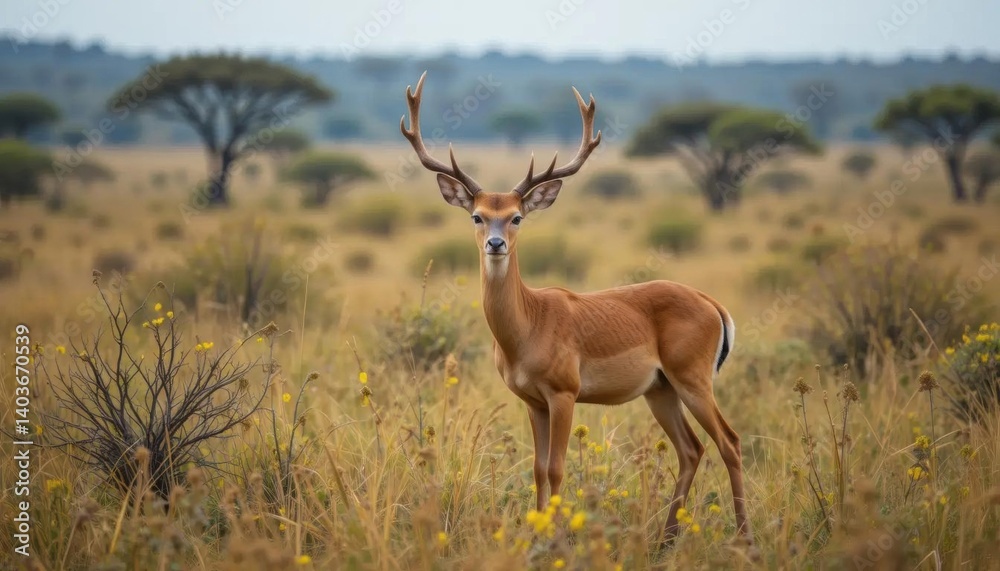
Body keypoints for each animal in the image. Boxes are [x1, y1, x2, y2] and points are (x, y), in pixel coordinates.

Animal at [400, 72, 752, 542]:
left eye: (516, 216)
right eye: (477, 215)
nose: (495, 244)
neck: (527, 326)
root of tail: (711, 303)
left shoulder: (564, 396)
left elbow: (556, 468)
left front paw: (555, 535)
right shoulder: (532, 402)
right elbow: (536, 469)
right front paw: (537, 532)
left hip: (693, 383)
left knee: (729, 443)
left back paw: (745, 538)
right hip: (660, 391)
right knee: (691, 450)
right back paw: (665, 540)